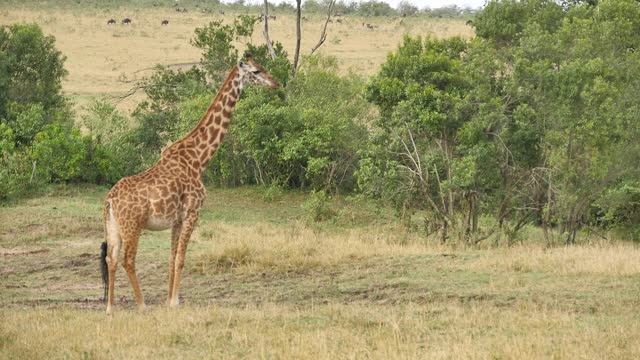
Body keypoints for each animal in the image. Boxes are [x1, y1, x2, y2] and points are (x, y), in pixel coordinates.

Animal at [101, 55, 278, 312]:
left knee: (111, 259)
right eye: (256, 71)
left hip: (113, 227)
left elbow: (171, 258)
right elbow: (181, 258)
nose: (276, 83)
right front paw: (175, 301)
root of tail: (110, 201)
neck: (199, 159)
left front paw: (168, 300)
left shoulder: (176, 219)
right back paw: (142, 305)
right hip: (132, 226)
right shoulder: (193, 213)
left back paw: (110, 308)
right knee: (128, 259)